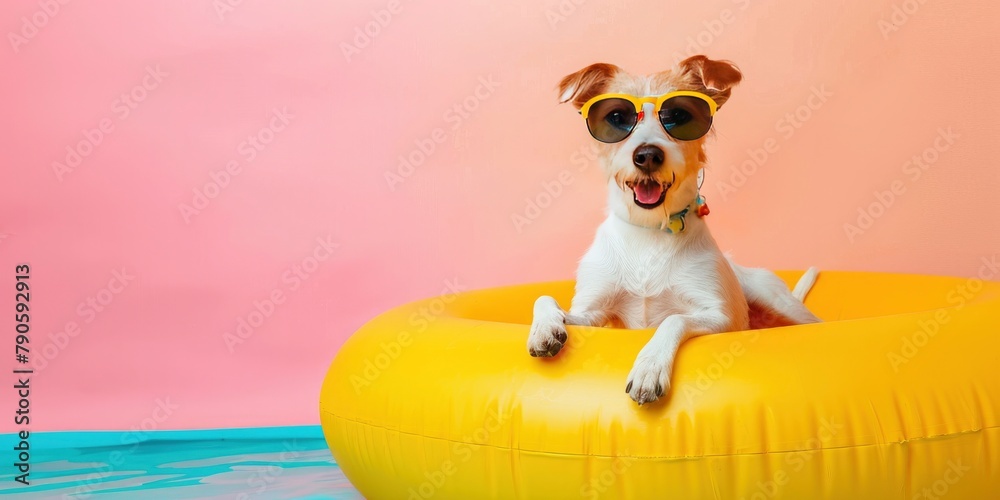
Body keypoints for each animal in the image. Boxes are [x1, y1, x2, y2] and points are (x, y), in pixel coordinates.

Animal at [524, 54, 820, 406]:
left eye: (679, 116)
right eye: (616, 117)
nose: (647, 155)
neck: (650, 233)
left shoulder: (720, 318)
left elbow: (673, 318)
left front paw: (650, 366)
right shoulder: (592, 314)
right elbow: (546, 299)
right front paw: (544, 329)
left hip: (778, 302)